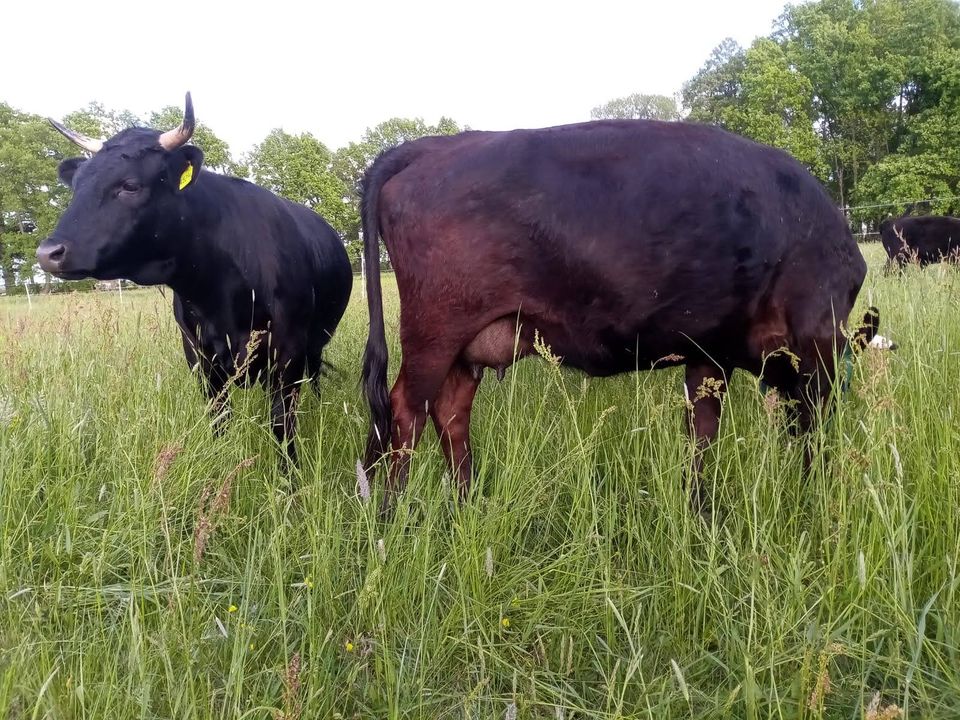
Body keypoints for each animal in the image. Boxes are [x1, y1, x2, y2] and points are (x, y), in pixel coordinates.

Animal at [38, 94, 352, 466]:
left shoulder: (286, 350)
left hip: (315, 341)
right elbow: (219, 417)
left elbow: (281, 422)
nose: (48, 252)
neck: (218, 294)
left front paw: (289, 474)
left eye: (129, 185)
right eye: (76, 187)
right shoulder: (199, 355)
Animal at [358, 119, 876, 512]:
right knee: (405, 411)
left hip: (467, 347)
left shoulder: (709, 353)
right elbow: (814, 430)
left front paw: (700, 511)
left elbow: (702, 434)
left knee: (449, 413)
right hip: (434, 335)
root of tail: (434, 144)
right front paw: (818, 498)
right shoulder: (816, 343)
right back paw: (391, 516)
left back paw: (466, 505)